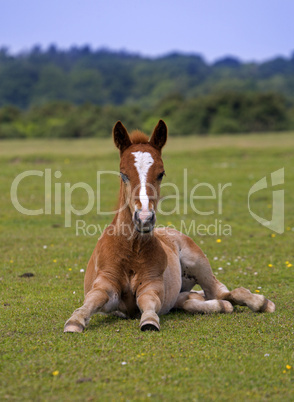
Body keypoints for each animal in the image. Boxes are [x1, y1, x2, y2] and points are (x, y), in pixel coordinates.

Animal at [64, 120, 276, 332]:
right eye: (123, 174)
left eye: (161, 173)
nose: (144, 218)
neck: (130, 250)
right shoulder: (105, 284)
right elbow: (93, 299)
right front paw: (75, 321)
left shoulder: (152, 285)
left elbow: (148, 302)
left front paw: (149, 321)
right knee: (194, 299)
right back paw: (220, 305)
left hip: (197, 262)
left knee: (220, 291)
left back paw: (260, 302)